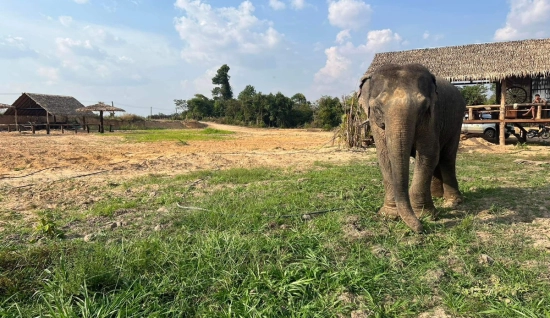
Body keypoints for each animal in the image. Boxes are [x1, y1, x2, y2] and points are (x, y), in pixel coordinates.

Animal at [360, 63, 468, 232]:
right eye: (377, 108)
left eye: (424, 107)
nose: (420, 228)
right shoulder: (374, 122)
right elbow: (384, 157)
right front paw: (389, 215)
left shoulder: (432, 118)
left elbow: (428, 154)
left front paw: (425, 215)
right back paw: (437, 196)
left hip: (456, 122)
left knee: (447, 157)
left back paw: (453, 202)